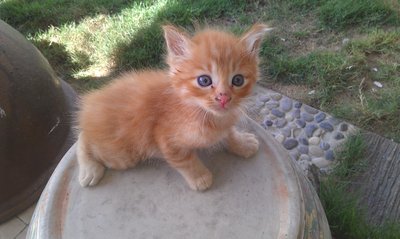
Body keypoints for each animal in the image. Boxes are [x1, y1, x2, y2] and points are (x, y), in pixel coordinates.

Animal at [77, 23, 272, 190]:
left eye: (237, 80)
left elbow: (228, 133)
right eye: (204, 80)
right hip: (121, 155)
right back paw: (90, 169)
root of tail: (91, 102)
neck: (202, 112)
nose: (224, 97)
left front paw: (242, 143)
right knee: (83, 138)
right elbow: (184, 160)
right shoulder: (165, 138)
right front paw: (200, 177)